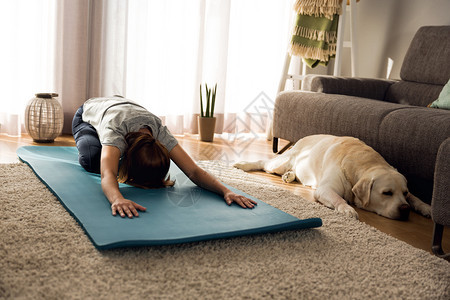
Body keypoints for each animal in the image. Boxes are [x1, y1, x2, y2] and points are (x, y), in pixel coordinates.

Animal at [234, 135, 430, 219]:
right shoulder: (325, 189)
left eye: (404, 193)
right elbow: (338, 198)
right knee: (264, 163)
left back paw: (290, 176)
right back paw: (242, 164)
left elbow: (416, 198)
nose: (405, 210)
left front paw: (425, 207)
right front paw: (347, 209)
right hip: (280, 162)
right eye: (386, 193)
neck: (364, 162)